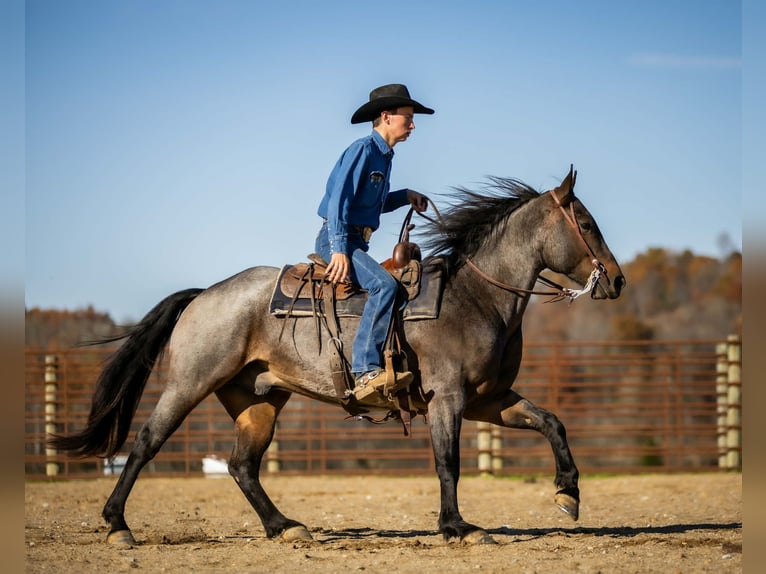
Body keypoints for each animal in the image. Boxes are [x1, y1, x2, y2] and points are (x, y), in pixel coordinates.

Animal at [50, 165, 625, 545]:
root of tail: (205, 294)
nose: (617, 280)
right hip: (190, 384)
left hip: (258, 400)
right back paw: (118, 526)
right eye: (587, 224)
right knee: (146, 443)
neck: (476, 296)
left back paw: (284, 527)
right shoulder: (448, 398)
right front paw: (458, 527)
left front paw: (568, 495)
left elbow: (551, 422)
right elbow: (448, 463)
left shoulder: (490, 399)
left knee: (242, 465)